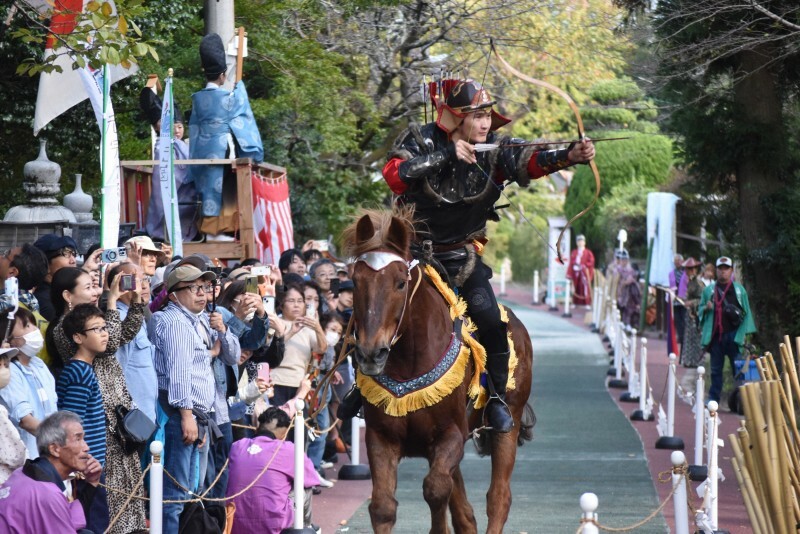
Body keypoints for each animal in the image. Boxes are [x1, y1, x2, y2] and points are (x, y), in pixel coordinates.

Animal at [340, 209, 536, 534]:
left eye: (400, 283)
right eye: (355, 281)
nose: (371, 352)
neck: (409, 362)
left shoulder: (450, 436)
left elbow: (435, 490)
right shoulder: (382, 439)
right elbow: (383, 507)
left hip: (510, 420)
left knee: (498, 497)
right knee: (464, 511)